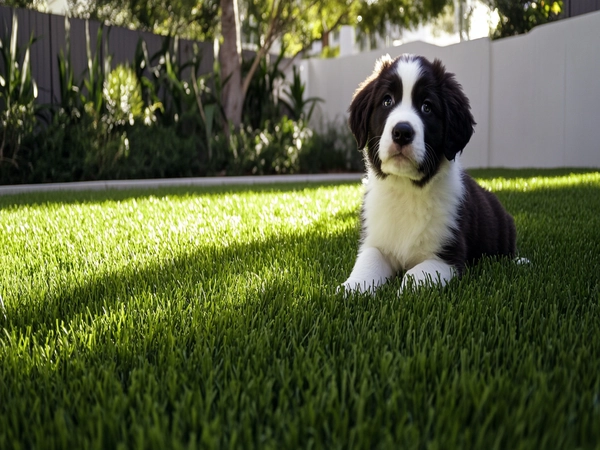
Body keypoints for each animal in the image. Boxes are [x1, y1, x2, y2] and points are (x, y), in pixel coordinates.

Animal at [342, 54, 516, 294]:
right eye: (387, 101)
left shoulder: (447, 259)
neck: (406, 189)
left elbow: (413, 277)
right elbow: (366, 264)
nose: (402, 132)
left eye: (427, 107)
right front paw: (351, 290)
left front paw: (400, 295)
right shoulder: (376, 242)